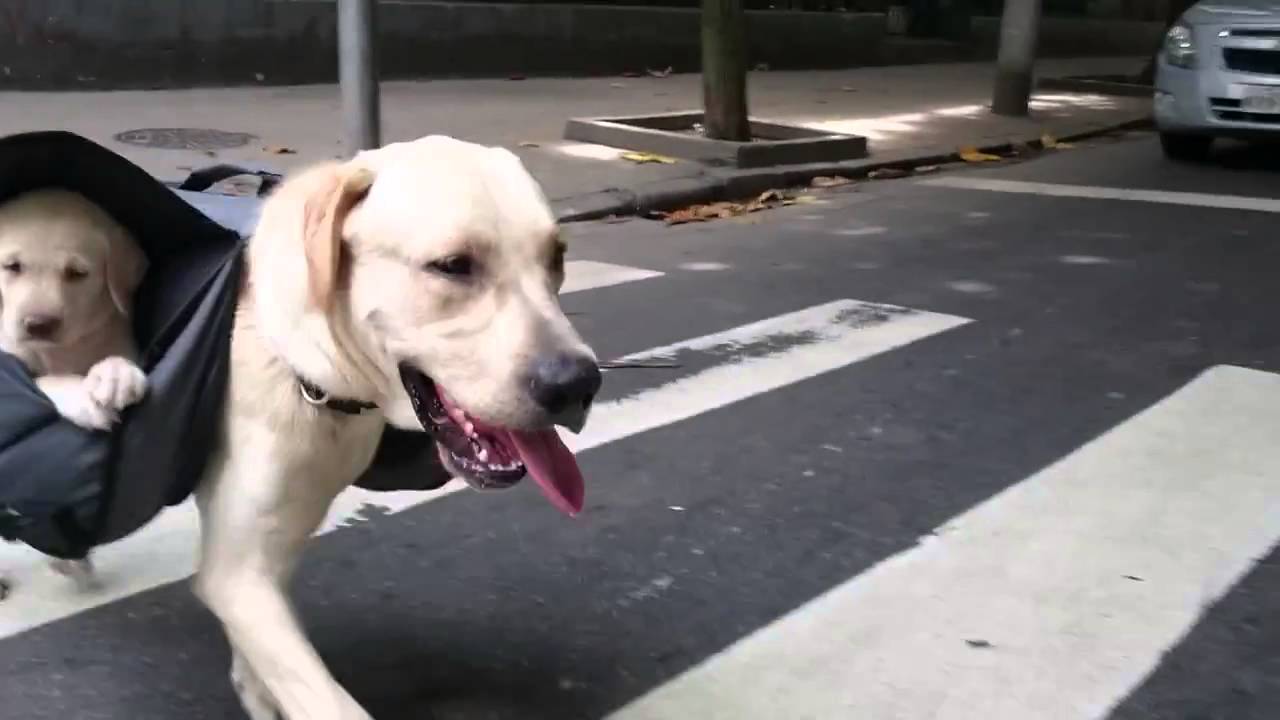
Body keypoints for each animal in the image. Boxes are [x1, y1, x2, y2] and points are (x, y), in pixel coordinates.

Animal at [0, 188, 149, 597]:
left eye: (77, 274)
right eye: (12, 267)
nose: (38, 324)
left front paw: (115, 376)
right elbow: (45, 380)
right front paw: (83, 397)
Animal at [192, 135, 601, 717]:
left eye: (557, 257)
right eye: (453, 265)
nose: (577, 385)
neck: (314, 379)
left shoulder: (266, 549)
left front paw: (256, 689)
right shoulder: (238, 570)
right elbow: (325, 698)